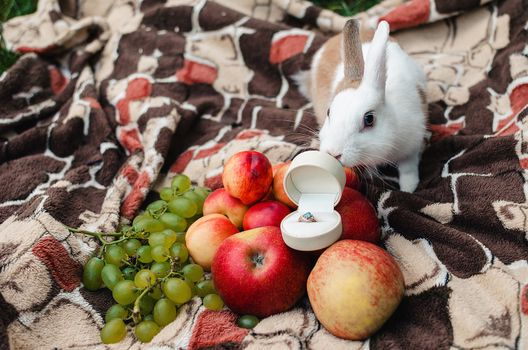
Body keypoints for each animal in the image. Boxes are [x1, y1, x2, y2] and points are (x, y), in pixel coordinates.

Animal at [300, 20, 426, 193]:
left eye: (369, 119)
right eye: (329, 112)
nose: (334, 153)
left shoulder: (412, 145)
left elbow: (409, 168)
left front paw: (408, 189)